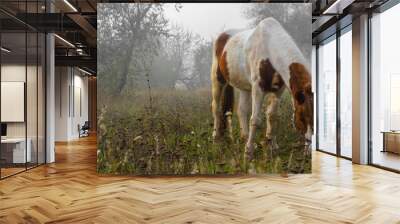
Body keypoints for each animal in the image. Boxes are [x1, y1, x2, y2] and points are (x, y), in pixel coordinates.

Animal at [209, 18, 312, 161]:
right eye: (302, 118)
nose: (310, 153)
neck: (270, 49)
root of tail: (222, 36)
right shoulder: (258, 89)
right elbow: (255, 120)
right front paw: (248, 153)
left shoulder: (278, 91)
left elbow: (272, 116)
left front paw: (272, 146)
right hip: (217, 80)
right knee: (216, 108)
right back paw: (216, 139)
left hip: (245, 87)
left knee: (241, 110)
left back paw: (245, 138)